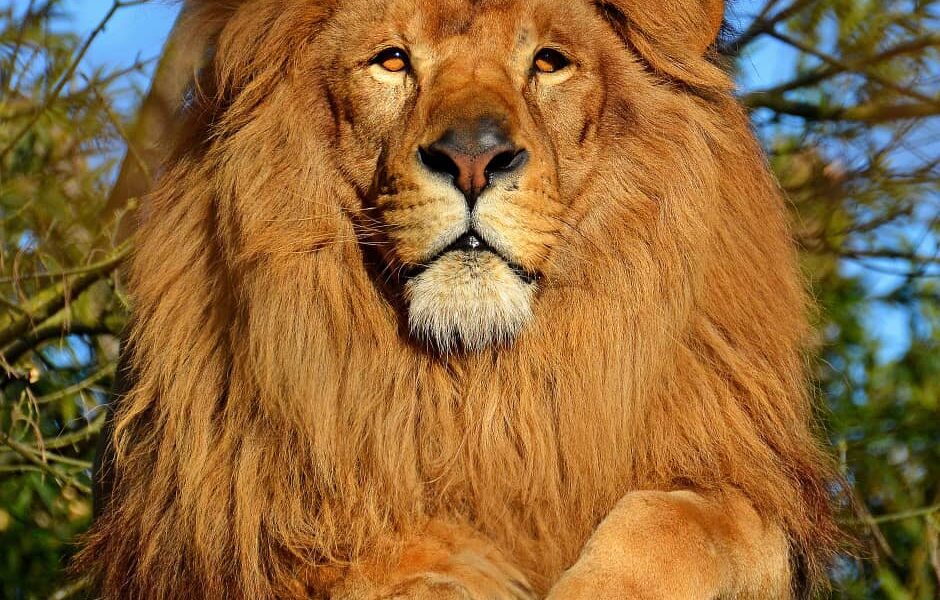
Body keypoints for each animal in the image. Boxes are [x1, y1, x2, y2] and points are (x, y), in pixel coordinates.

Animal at [81, 0, 842, 598]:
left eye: (548, 62)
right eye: (392, 61)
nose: (473, 160)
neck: (483, 389)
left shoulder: (746, 494)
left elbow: (677, 522)